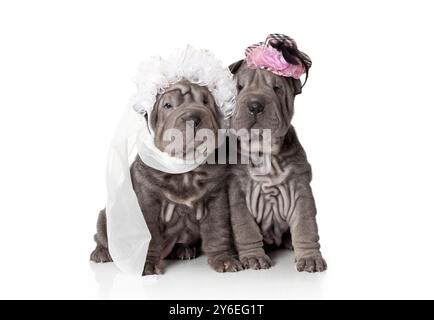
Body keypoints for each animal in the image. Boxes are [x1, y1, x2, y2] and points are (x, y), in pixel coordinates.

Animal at [90, 79, 244, 276]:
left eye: (205, 102)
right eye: (168, 105)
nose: (193, 118)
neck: (185, 169)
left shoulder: (216, 198)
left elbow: (218, 230)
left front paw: (224, 259)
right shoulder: (147, 201)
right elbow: (149, 236)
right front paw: (146, 265)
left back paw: (183, 249)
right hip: (107, 215)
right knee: (102, 236)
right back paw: (102, 253)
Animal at [229, 35, 328, 272]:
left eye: (276, 89)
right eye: (239, 87)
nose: (255, 105)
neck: (264, 152)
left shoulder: (301, 191)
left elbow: (306, 226)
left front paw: (310, 258)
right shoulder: (237, 194)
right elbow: (246, 229)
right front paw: (253, 257)